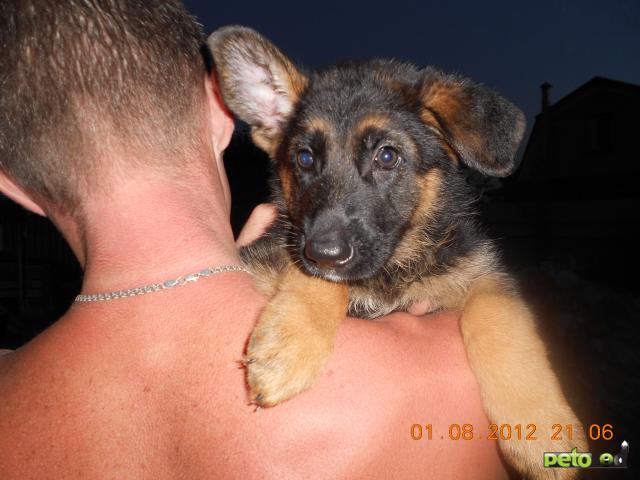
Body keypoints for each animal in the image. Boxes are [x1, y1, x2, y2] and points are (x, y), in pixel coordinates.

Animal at [209, 27, 584, 480]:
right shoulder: (272, 251)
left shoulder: (478, 271)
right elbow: (314, 278)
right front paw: (290, 342)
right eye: (304, 158)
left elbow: (500, 319)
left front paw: (541, 427)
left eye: (387, 156)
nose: (324, 252)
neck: (389, 273)